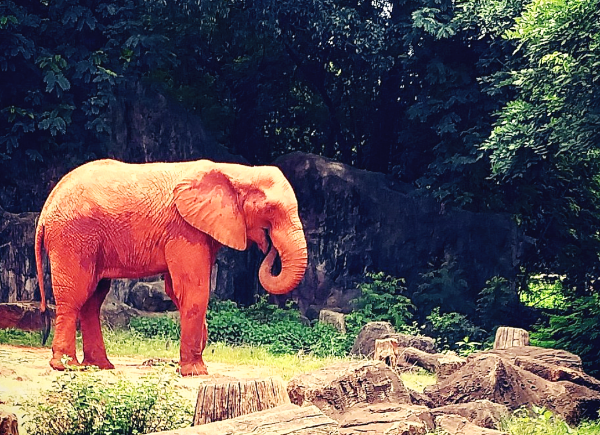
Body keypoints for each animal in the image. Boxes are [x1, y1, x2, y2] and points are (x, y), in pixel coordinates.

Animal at [35, 159, 308, 376]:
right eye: (270, 210)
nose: (269, 246)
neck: (237, 171)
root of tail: (45, 210)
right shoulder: (185, 229)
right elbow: (193, 289)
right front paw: (196, 372)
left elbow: (175, 290)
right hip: (73, 236)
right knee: (76, 295)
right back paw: (66, 367)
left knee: (93, 298)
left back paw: (99, 367)